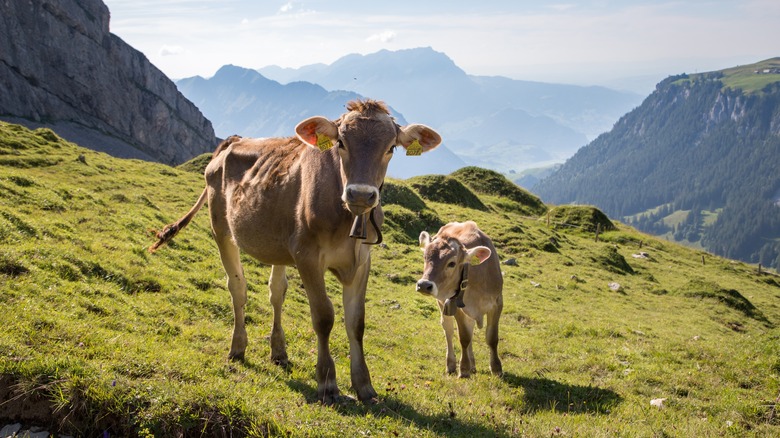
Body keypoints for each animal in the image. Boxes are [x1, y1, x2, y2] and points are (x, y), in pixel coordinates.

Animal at [150, 100, 442, 404]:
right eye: (341, 143)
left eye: (391, 148)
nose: (361, 195)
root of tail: (235, 140)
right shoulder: (307, 255)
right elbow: (323, 317)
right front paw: (327, 382)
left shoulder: (362, 261)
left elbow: (357, 322)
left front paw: (364, 385)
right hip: (221, 229)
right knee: (237, 288)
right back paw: (238, 347)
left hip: (278, 244)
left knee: (276, 291)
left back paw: (279, 351)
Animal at [418, 221, 502, 378]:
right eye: (425, 257)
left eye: (452, 263)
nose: (424, 285)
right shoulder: (455, 305)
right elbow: (464, 337)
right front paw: (463, 369)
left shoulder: (497, 303)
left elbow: (492, 338)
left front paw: (496, 368)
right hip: (443, 304)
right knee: (449, 330)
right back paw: (451, 364)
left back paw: (473, 364)